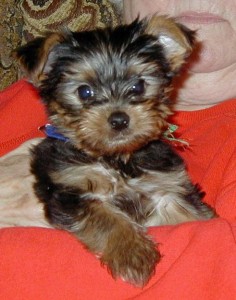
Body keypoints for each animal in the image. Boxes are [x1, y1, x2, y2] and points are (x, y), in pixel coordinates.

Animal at [14, 15, 214, 286]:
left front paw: (206, 221)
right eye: (84, 91)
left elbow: (190, 213)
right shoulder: (70, 189)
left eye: (138, 86)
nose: (119, 119)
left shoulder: (166, 186)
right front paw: (133, 254)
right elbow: (106, 218)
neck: (116, 159)